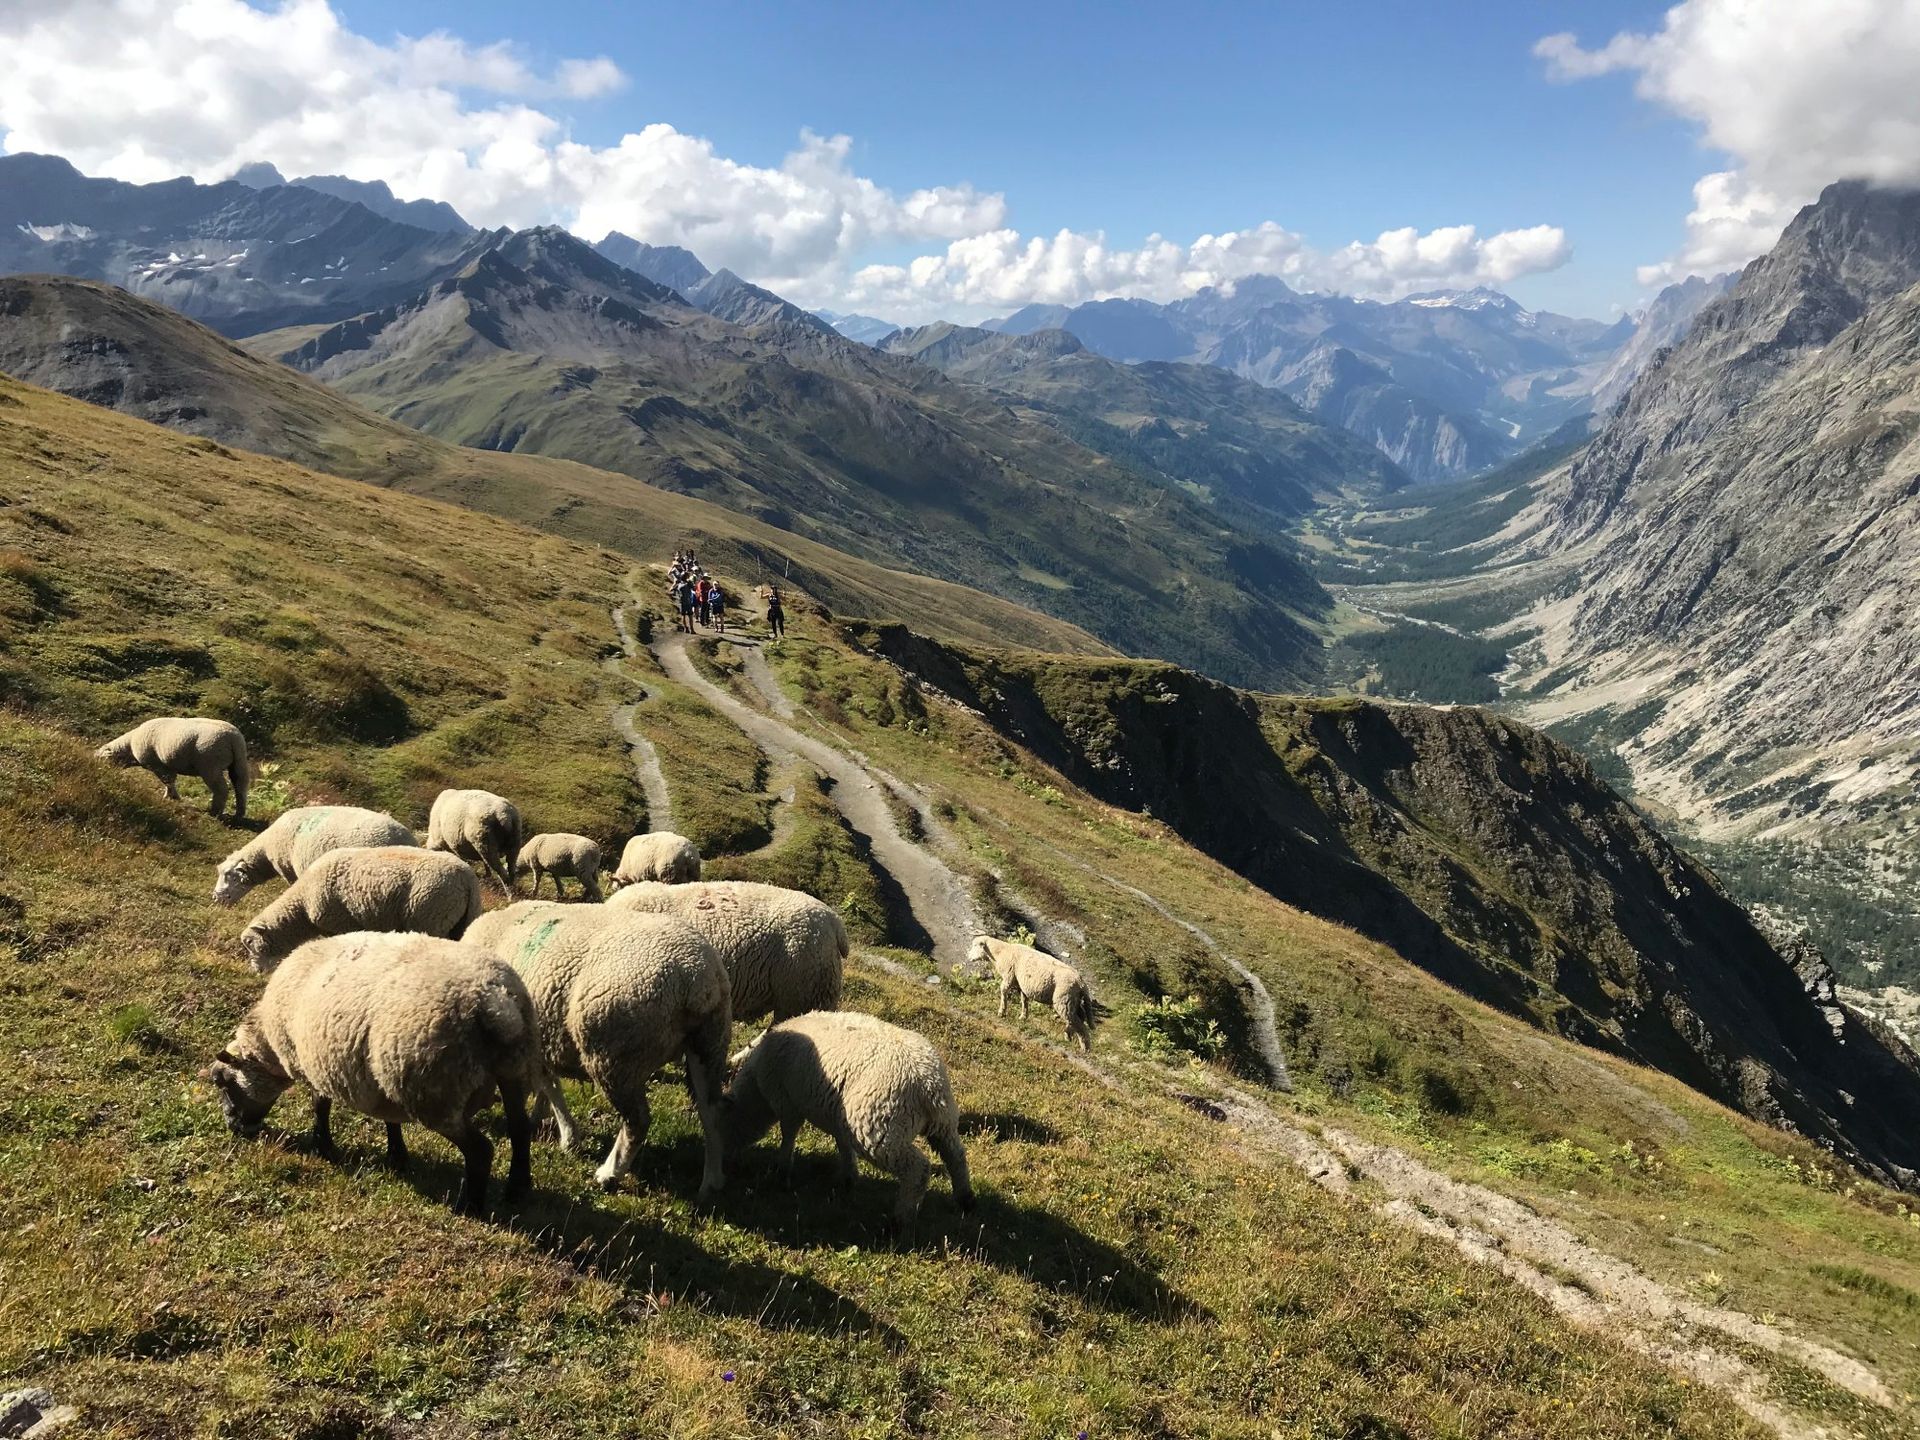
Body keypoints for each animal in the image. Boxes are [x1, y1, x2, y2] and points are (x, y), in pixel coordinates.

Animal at [94, 716, 249, 819]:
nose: (99, 770)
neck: (130, 746)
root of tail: (232, 737)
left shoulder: (157, 764)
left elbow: (168, 780)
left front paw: (171, 797)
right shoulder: (168, 763)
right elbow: (171, 780)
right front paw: (173, 796)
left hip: (210, 764)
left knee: (221, 789)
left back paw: (215, 812)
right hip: (239, 761)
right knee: (240, 786)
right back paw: (239, 814)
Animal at [200, 931, 537, 1217]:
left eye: (222, 1082)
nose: (234, 1128)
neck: (271, 1047)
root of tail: (496, 1002)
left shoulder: (312, 1063)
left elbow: (320, 1106)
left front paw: (324, 1146)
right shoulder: (380, 1075)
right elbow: (390, 1119)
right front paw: (397, 1157)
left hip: (433, 1089)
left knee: (481, 1150)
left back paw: (470, 1208)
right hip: (511, 1068)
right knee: (520, 1129)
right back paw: (517, 1189)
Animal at [239, 846, 481, 973]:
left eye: (250, 944)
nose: (256, 972)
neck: (302, 908)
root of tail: (467, 878)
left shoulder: (339, 924)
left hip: (431, 916)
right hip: (458, 921)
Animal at [464, 901, 731, 1195]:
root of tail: (695, 978)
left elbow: (549, 1086)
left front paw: (567, 1135)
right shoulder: (543, 1039)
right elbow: (549, 1084)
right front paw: (547, 1120)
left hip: (614, 1054)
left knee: (638, 1120)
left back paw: (609, 1173)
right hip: (709, 1044)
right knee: (712, 1111)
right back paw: (712, 1182)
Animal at [723, 1010, 974, 1229]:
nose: (730, 1163)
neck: (756, 1092)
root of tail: (930, 1084)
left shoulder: (786, 1102)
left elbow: (789, 1135)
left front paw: (782, 1169)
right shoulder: (839, 1119)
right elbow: (843, 1146)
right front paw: (848, 1178)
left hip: (879, 1129)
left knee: (918, 1170)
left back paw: (900, 1220)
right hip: (943, 1125)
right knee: (957, 1157)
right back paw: (965, 1200)